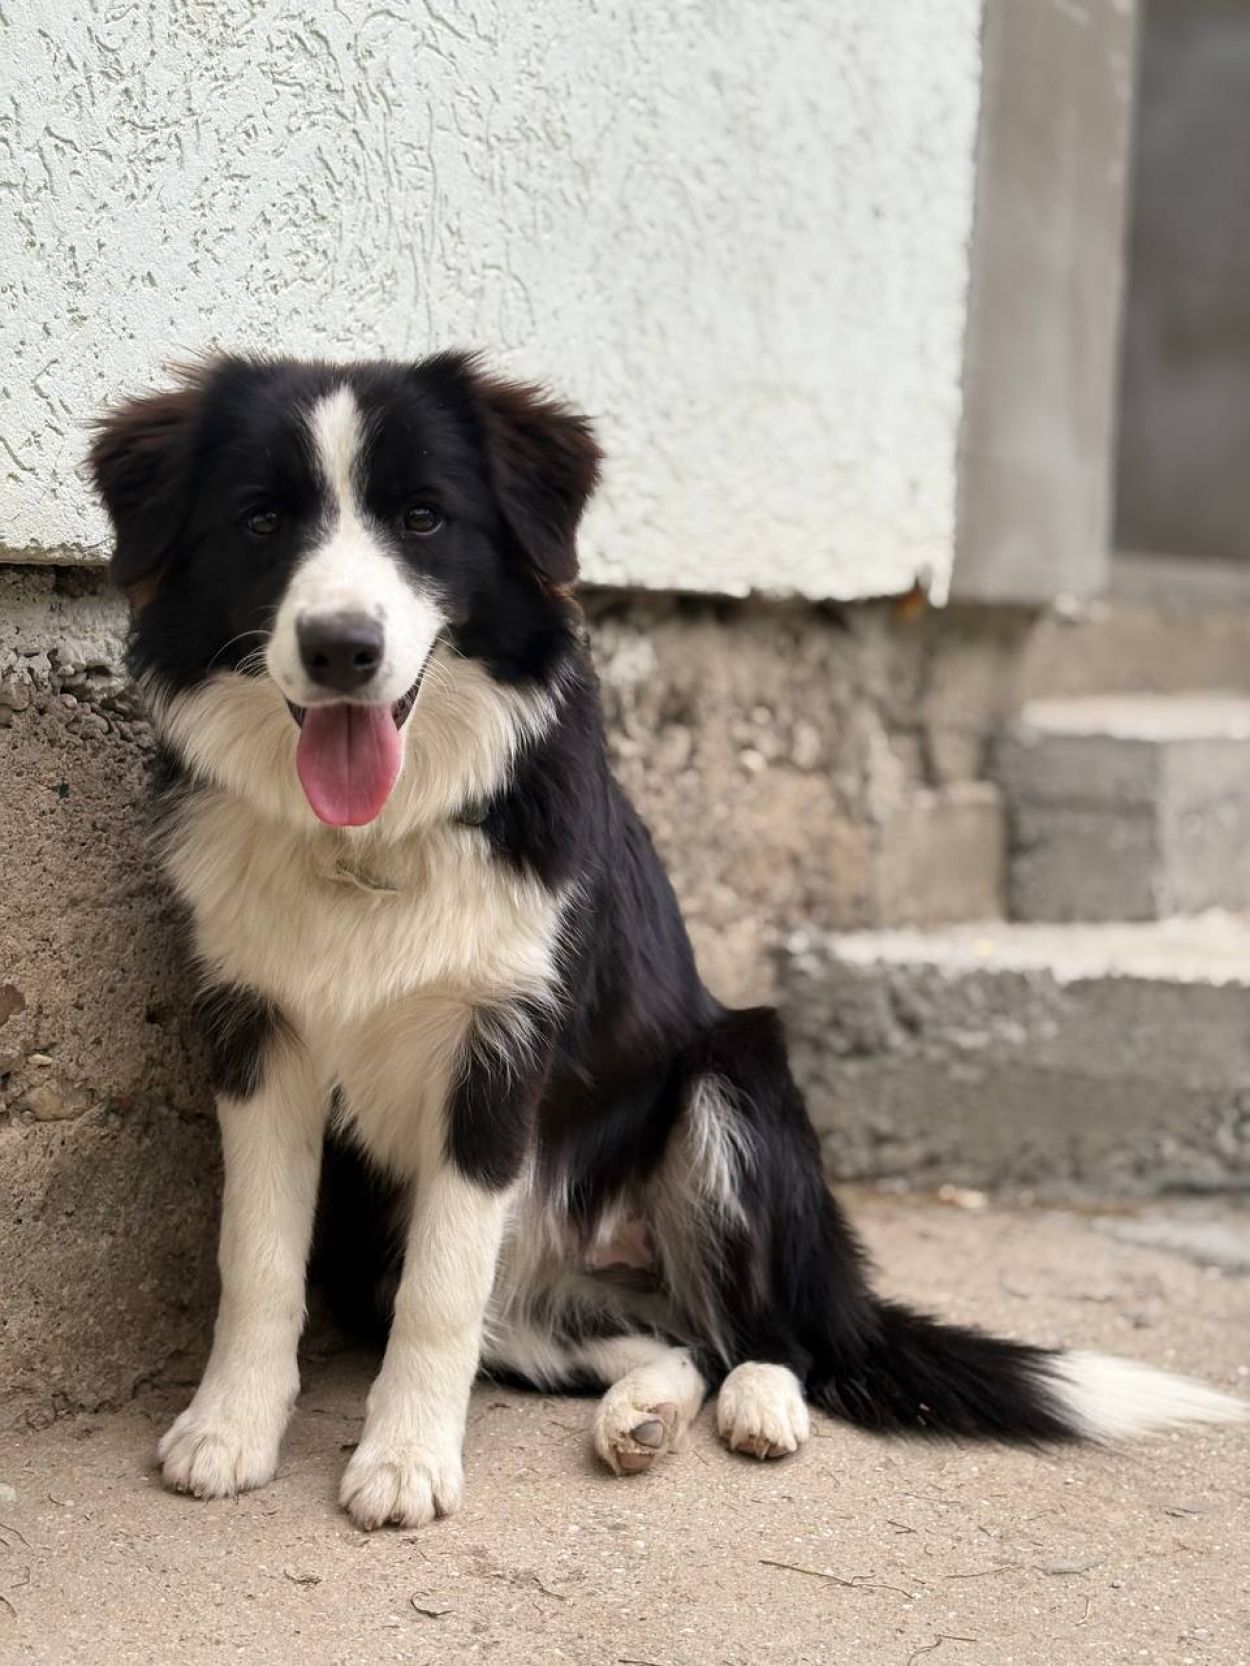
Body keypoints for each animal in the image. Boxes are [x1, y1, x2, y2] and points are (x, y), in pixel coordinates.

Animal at [89, 351, 1246, 1530]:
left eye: (422, 517)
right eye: (261, 521)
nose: (340, 648)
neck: (373, 840)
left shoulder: (498, 1054)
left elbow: (441, 1292)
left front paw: (406, 1460)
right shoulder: (257, 1035)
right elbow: (258, 1257)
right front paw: (229, 1427)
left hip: (731, 1083)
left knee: (759, 1333)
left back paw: (763, 1403)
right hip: (464, 1260)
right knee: (671, 1341)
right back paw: (639, 1417)